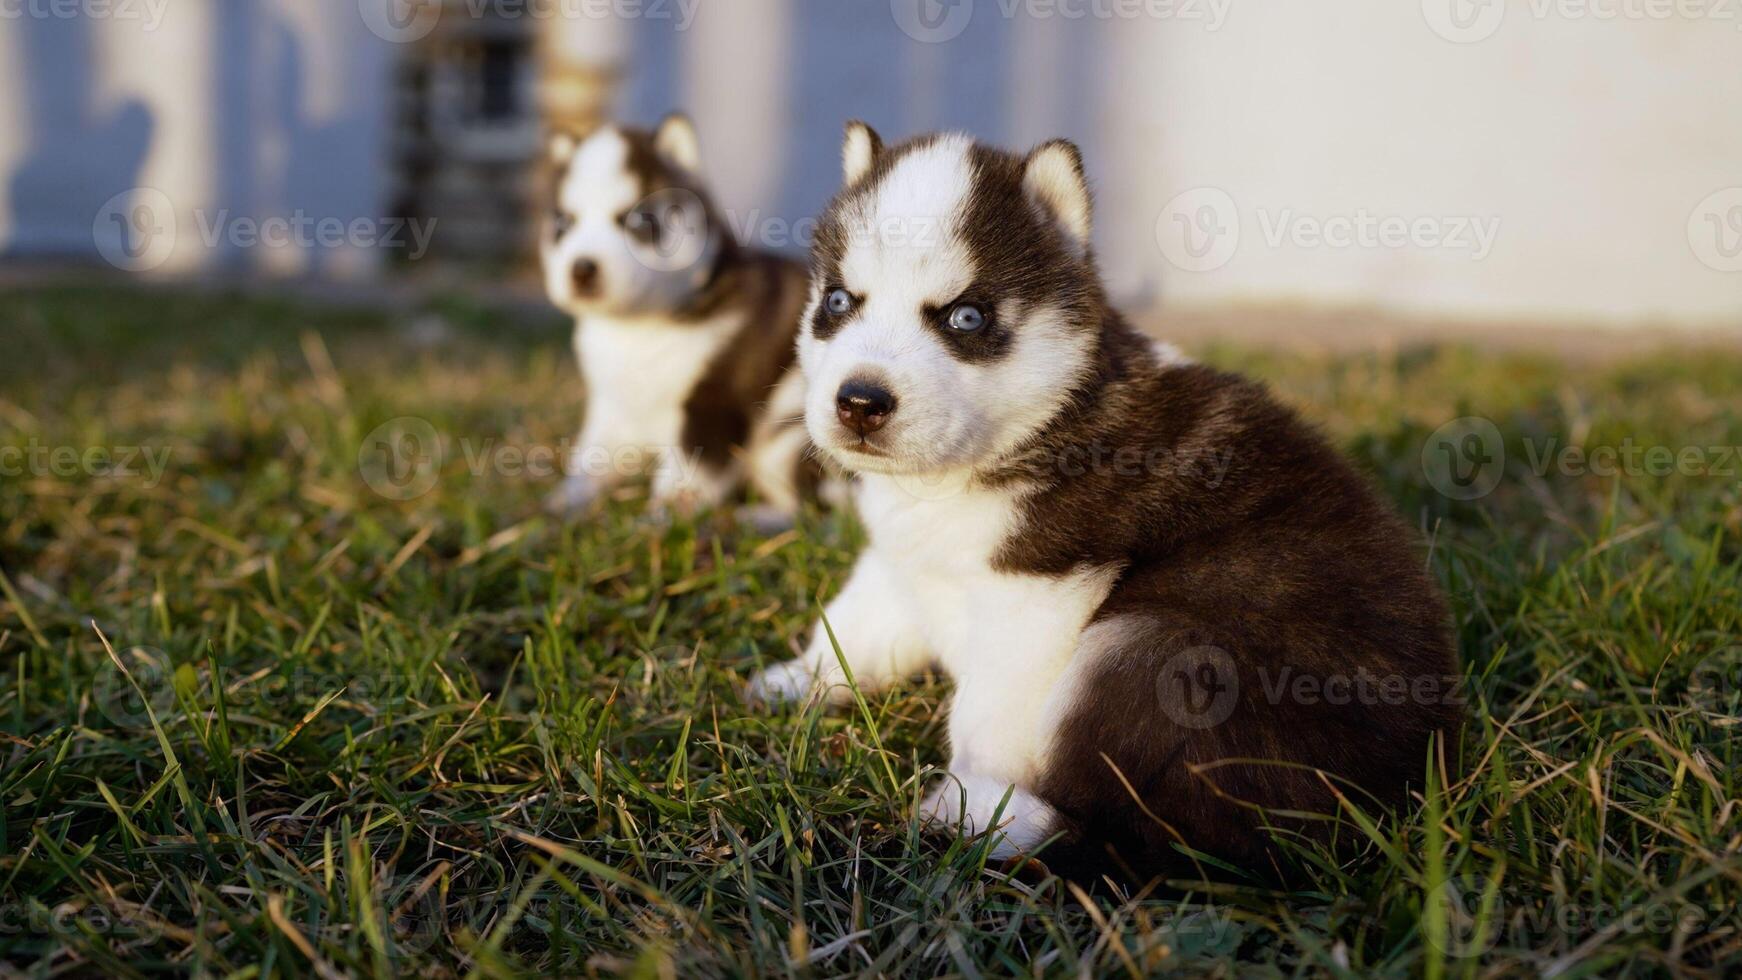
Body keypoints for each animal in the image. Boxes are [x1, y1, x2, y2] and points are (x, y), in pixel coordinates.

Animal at [540, 113, 811, 522]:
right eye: (562, 225)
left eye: (639, 222)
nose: (582, 269)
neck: (637, 327)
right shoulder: (612, 404)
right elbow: (592, 457)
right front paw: (568, 500)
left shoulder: (712, 402)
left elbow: (688, 469)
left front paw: (660, 517)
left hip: (790, 435)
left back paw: (757, 519)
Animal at [749, 122, 1456, 880]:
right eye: (838, 302)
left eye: (966, 316)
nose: (859, 402)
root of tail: (1398, 788)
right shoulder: (900, 554)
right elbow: (853, 623)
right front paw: (797, 681)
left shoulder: (1035, 595)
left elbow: (986, 714)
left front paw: (975, 788)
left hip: (1152, 649)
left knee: (1144, 832)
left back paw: (985, 821)